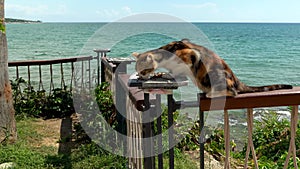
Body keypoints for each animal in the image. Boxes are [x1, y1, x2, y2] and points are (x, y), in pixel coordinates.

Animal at [132, 39, 292, 97]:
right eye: (138, 72)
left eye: (143, 70)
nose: (141, 76)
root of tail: (236, 79)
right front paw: (161, 74)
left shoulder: (191, 54)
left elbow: (177, 72)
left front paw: (168, 75)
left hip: (215, 75)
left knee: (233, 92)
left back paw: (211, 94)